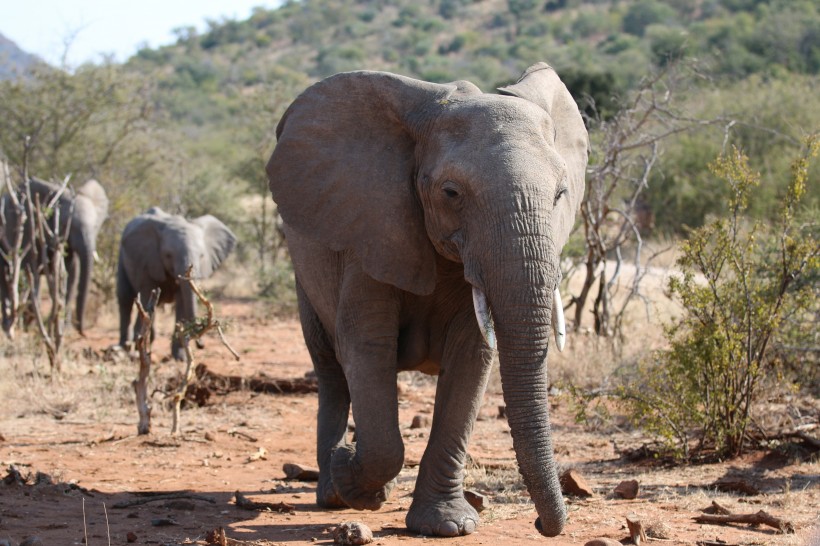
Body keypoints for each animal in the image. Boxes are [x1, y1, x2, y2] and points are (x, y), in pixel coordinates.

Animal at [0, 176, 109, 334]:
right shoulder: (25, 227)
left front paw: (65, 328)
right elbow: (30, 271)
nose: (81, 330)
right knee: (6, 276)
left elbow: (71, 274)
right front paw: (31, 326)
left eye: (96, 227)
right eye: (65, 225)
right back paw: (8, 325)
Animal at [115, 206, 237, 360]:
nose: (201, 345)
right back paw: (124, 347)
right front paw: (139, 349)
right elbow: (146, 294)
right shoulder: (147, 259)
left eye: (202, 256)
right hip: (121, 256)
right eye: (168, 255)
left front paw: (180, 357)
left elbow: (181, 302)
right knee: (125, 297)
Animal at [266, 62, 588, 536]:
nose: (542, 525)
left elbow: (471, 359)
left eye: (560, 194)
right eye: (451, 193)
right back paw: (332, 491)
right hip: (303, 270)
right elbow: (367, 347)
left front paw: (448, 525)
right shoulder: (372, 230)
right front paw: (351, 476)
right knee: (330, 369)